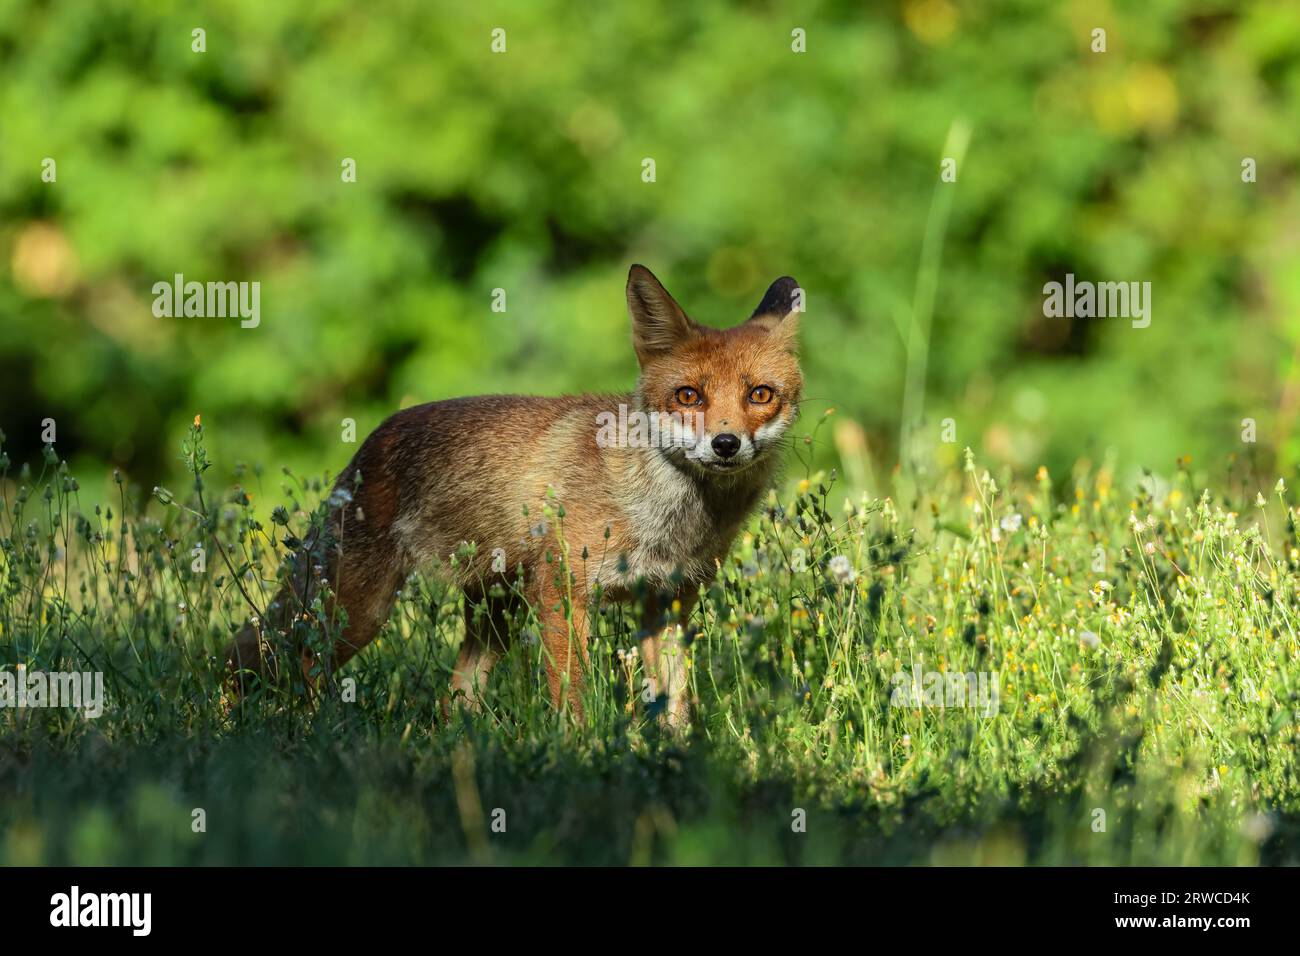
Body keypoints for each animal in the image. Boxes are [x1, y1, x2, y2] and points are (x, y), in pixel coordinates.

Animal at [224, 264, 803, 728]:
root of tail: (371, 439)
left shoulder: (668, 602)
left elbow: (675, 703)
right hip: (358, 613)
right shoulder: (562, 591)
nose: (726, 444)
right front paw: (581, 752)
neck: (664, 518)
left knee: (451, 700)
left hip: (494, 619)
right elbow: (572, 696)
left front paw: (676, 759)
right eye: (688, 396)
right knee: (275, 659)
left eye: (760, 395)